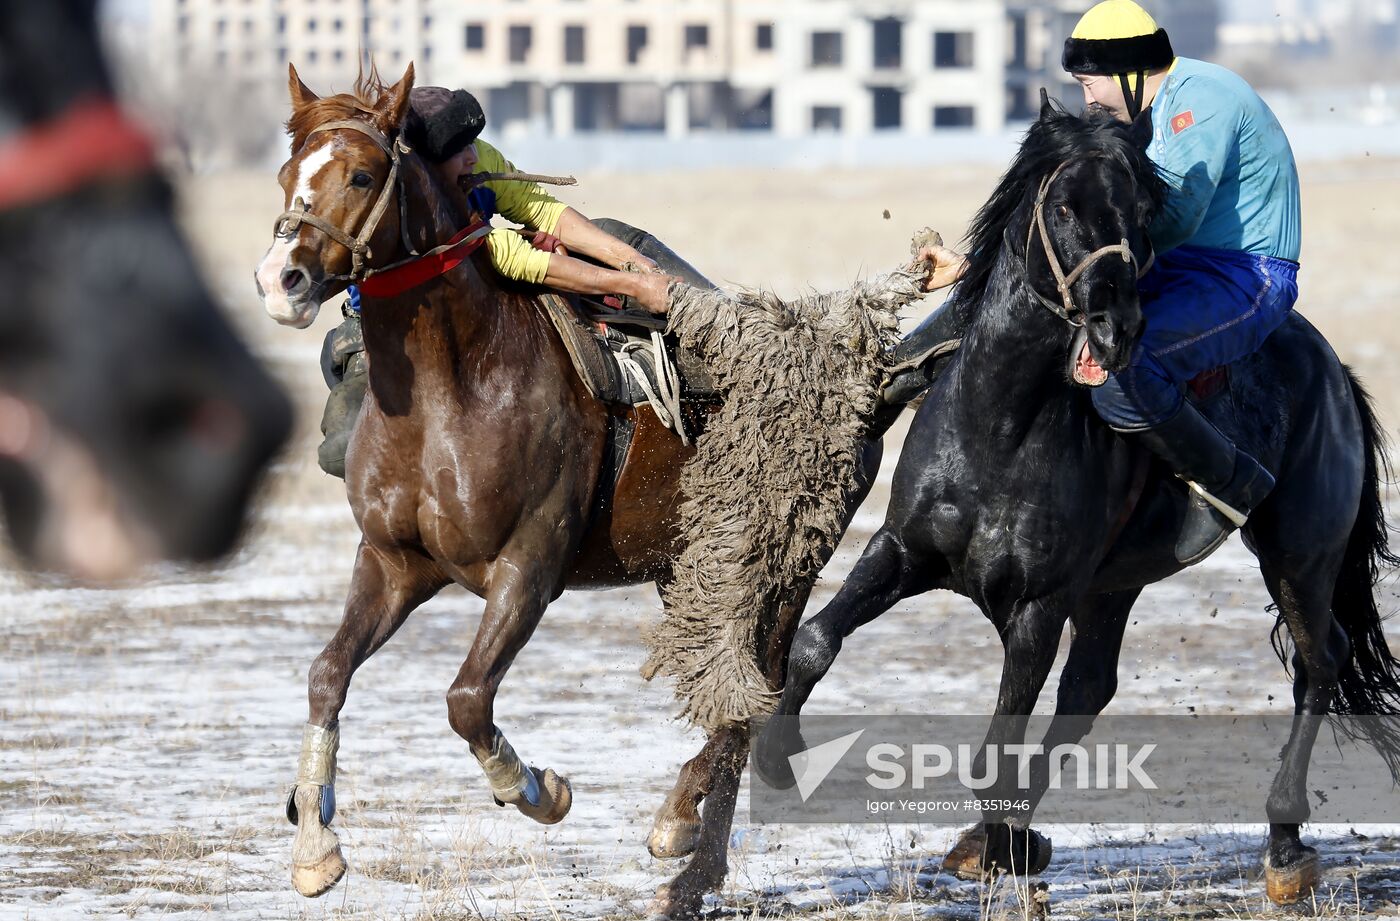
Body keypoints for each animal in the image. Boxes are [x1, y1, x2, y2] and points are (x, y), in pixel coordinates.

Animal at [257, 62, 879, 912]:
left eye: (359, 173)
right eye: (288, 172)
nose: (279, 279)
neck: (455, 388)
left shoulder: (529, 566)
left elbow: (466, 698)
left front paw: (538, 789)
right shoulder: (393, 562)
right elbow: (327, 673)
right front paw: (316, 841)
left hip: (778, 570)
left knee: (750, 701)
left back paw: (688, 863)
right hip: (686, 570)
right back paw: (682, 823)